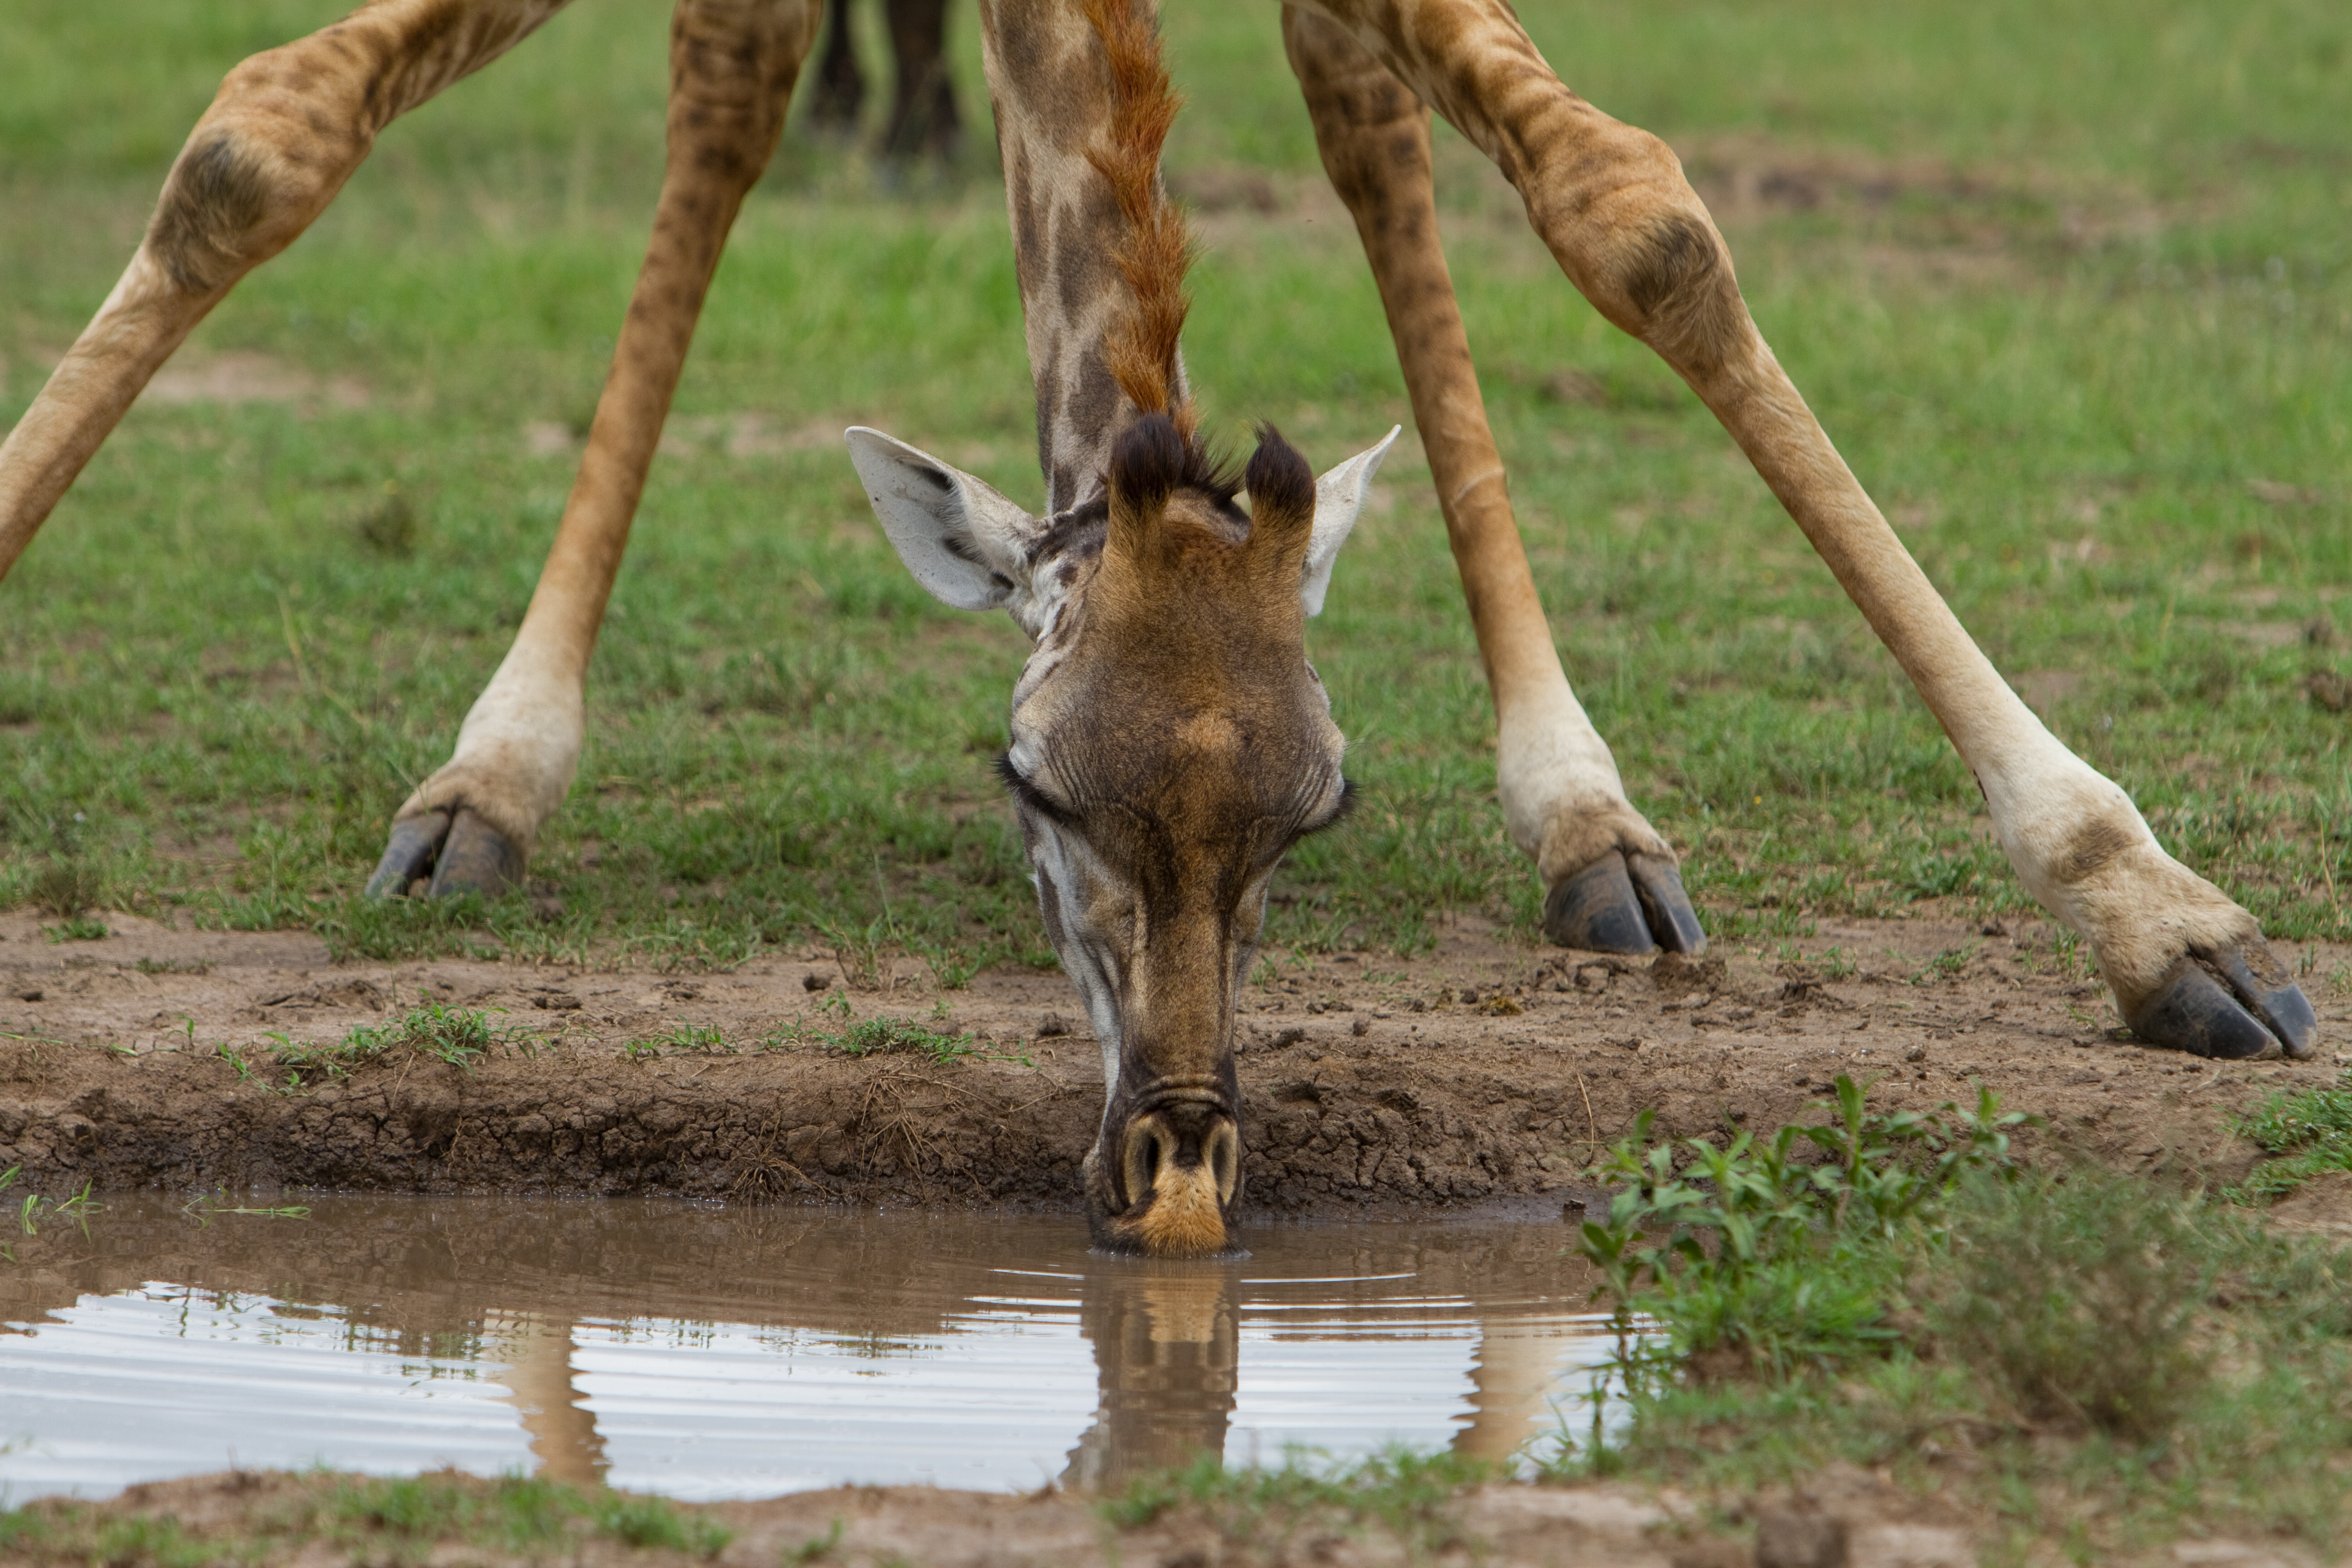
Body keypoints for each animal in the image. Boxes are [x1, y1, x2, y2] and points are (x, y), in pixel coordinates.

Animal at [0, 0, 2319, 1257]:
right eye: (1030, 786)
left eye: (1320, 810)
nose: (1181, 1156)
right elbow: (260, 137)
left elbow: (1641, 221)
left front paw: (2158, 913)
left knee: (1363, 111)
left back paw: (1591, 814)